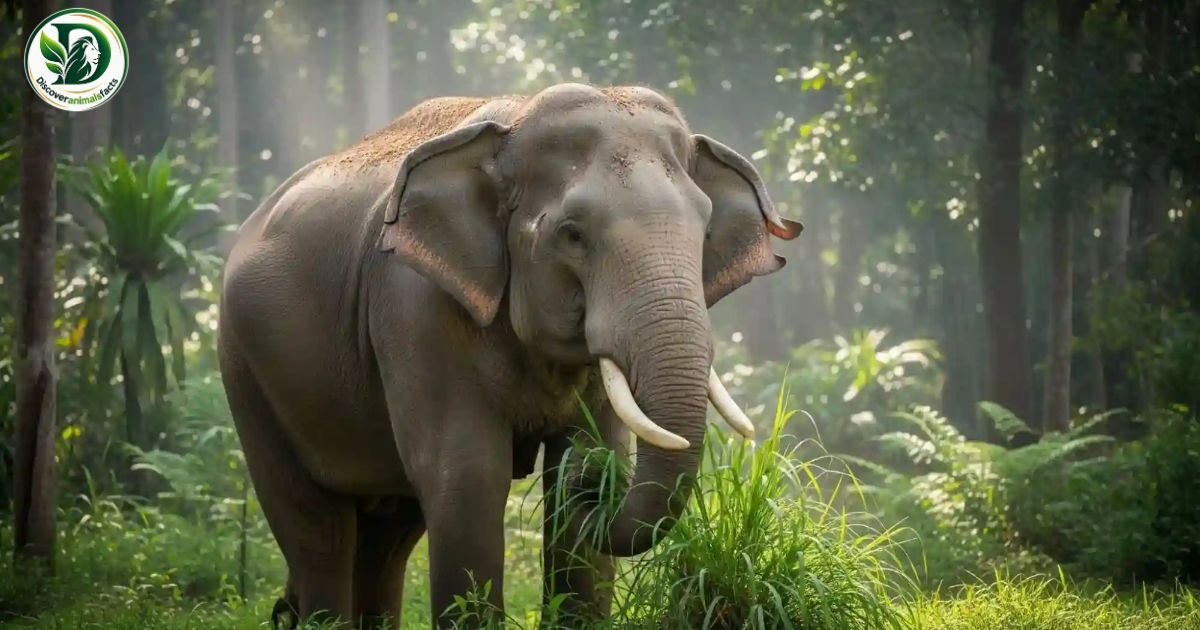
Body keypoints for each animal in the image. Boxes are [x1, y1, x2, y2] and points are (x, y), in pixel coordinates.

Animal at [218, 83, 801, 628]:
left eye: (704, 231)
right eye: (572, 234)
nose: (599, 483)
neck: (516, 119)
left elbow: (576, 461)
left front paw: (582, 463)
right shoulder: (414, 307)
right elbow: (469, 475)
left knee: (387, 536)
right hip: (247, 371)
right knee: (316, 529)